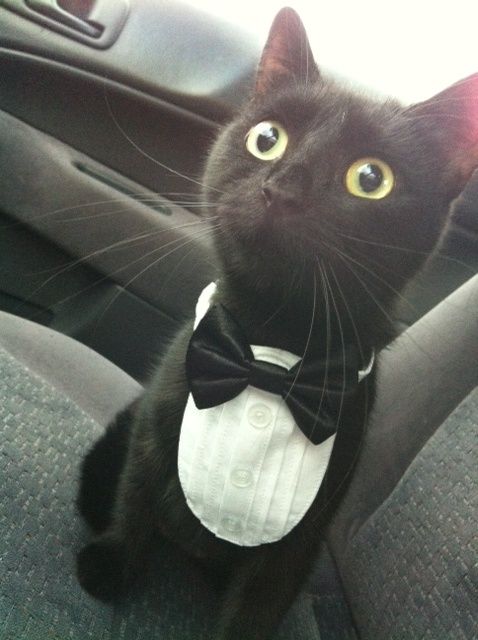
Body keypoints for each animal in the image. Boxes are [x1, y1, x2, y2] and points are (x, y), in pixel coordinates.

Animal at [76, 6, 476, 640]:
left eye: (371, 178)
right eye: (267, 139)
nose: (281, 188)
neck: (268, 352)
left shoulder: (303, 538)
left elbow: (256, 606)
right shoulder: (154, 428)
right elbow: (134, 501)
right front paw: (112, 565)